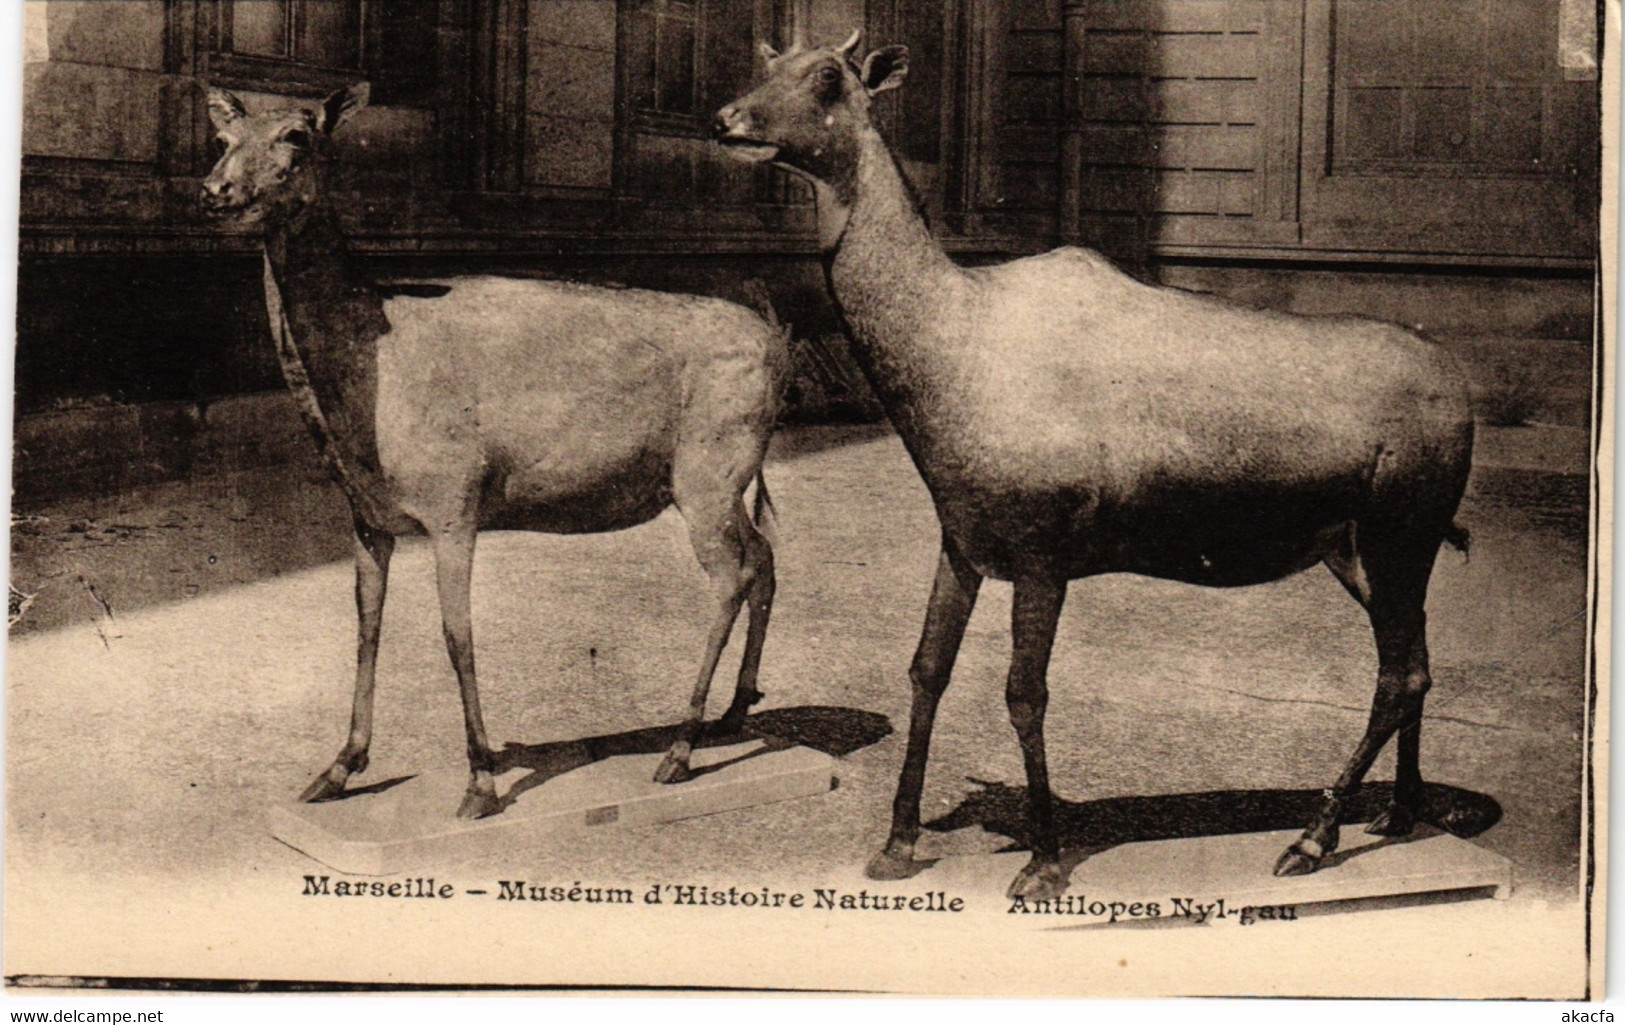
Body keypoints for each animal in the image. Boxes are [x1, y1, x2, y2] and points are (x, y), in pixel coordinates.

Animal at [203, 84, 786, 821]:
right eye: (223, 138)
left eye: (297, 137)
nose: (215, 191)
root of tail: (778, 340)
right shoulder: (366, 516)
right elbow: (366, 625)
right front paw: (335, 769)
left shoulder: (455, 497)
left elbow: (457, 632)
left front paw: (479, 780)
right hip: (729, 478)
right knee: (766, 553)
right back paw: (736, 710)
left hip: (710, 468)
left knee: (732, 573)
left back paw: (679, 747)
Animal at [718, 30, 1482, 896]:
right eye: (768, 62)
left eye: (824, 77)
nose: (727, 119)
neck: (951, 350)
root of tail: (1460, 395)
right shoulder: (963, 541)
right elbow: (925, 669)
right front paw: (896, 840)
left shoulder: (1043, 549)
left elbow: (1024, 692)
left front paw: (1044, 858)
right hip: (1354, 549)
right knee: (1416, 661)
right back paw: (1398, 811)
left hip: (1399, 532)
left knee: (1395, 674)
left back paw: (1312, 838)